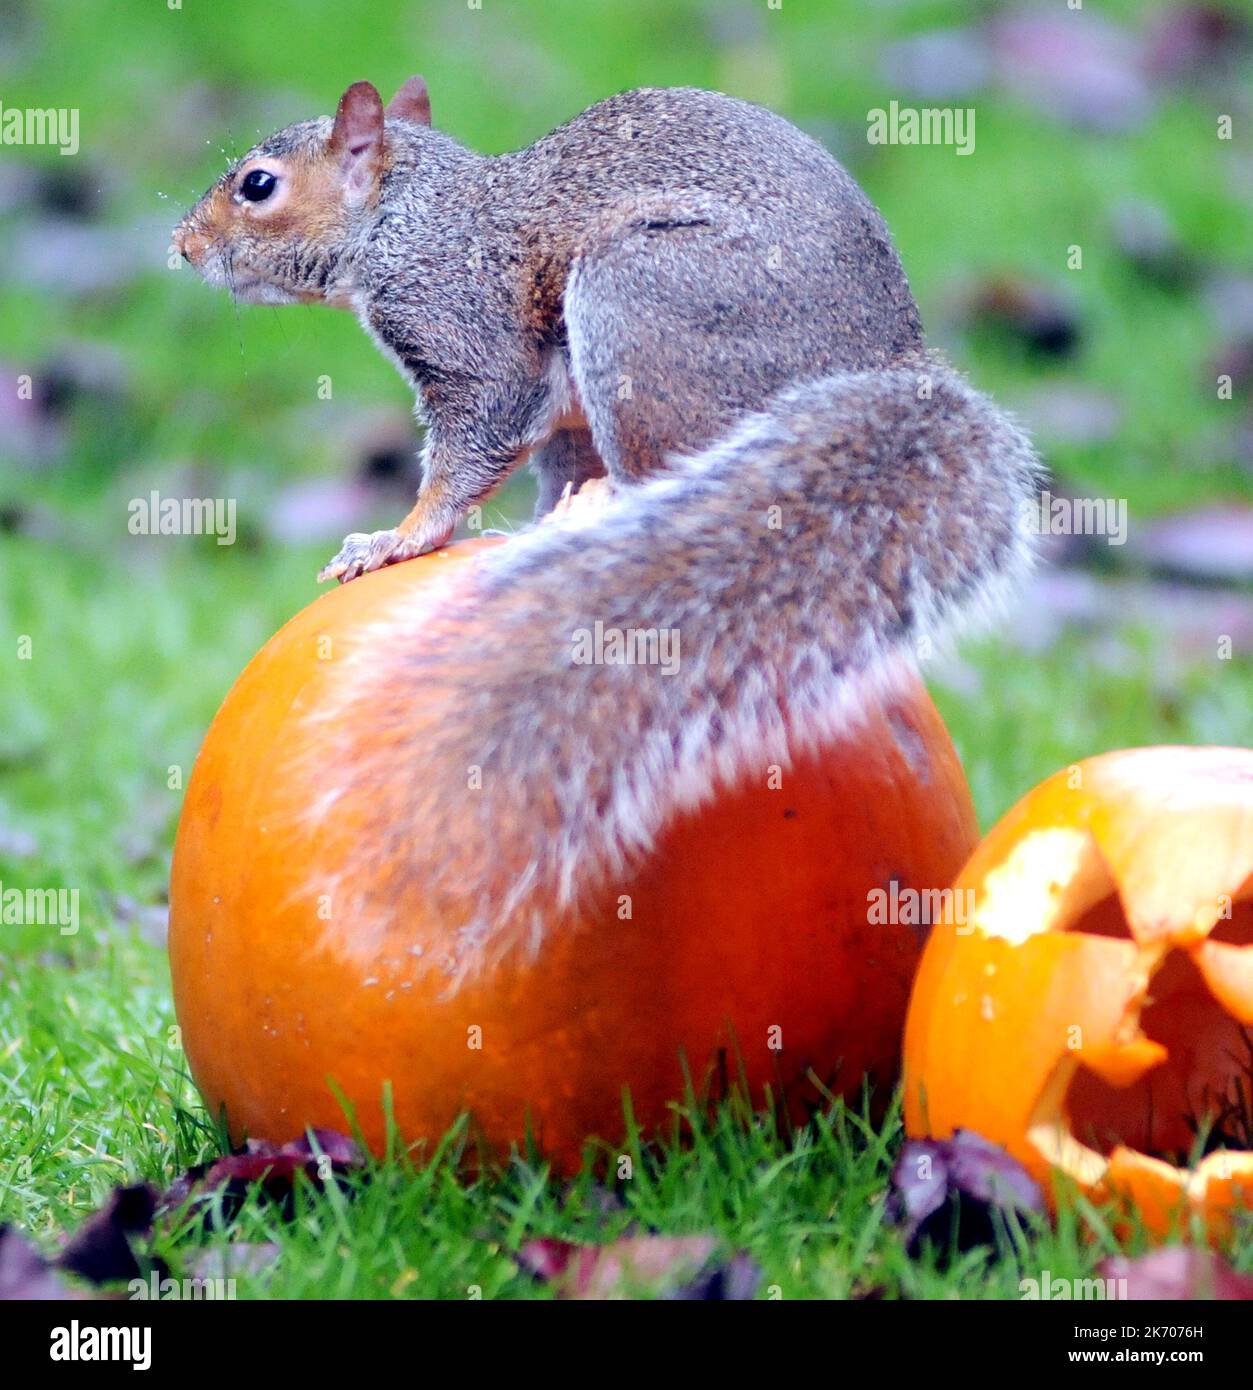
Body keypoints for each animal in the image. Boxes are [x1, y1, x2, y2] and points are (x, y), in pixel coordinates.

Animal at [173, 78, 1034, 967]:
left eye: (258, 185)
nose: (182, 246)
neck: (405, 213)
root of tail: (886, 363)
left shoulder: (467, 327)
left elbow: (471, 446)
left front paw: (402, 535)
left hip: (638, 303)